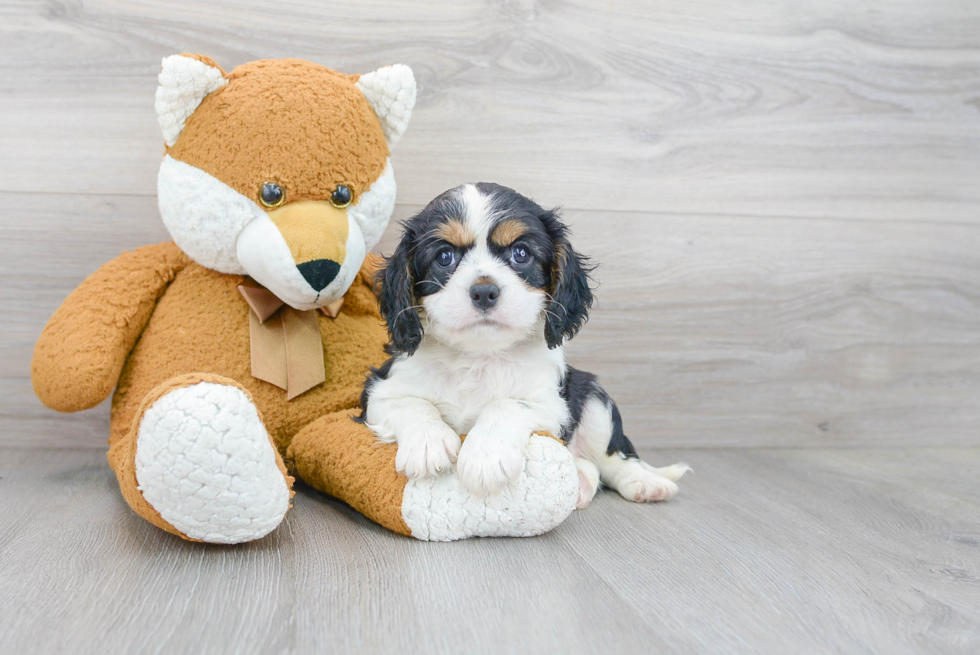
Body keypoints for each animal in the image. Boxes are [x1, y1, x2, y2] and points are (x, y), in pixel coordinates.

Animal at [360, 184, 688, 508]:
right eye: (444, 257)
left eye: (520, 253)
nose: (484, 292)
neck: (479, 357)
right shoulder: (377, 394)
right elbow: (412, 403)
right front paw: (428, 444)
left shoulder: (553, 405)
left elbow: (507, 405)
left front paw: (485, 457)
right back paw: (581, 483)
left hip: (594, 398)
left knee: (613, 457)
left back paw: (644, 483)